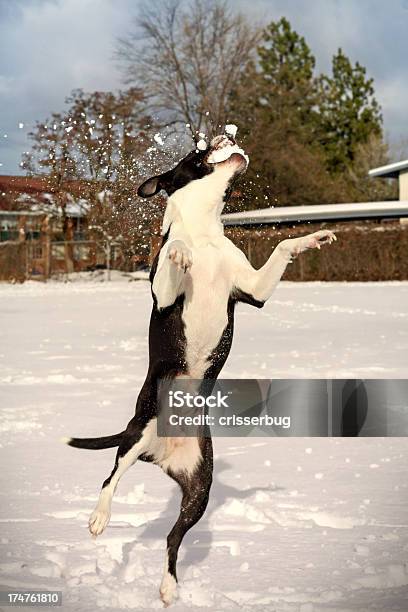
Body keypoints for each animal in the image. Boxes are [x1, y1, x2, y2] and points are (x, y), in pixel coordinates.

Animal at [66, 131, 334, 604]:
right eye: (195, 152)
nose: (225, 136)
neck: (206, 232)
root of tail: (162, 453)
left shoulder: (253, 289)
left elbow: (282, 245)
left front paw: (312, 238)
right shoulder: (165, 295)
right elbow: (173, 253)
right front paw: (179, 252)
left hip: (199, 487)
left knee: (173, 538)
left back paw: (168, 586)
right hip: (137, 435)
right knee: (110, 478)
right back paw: (99, 518)